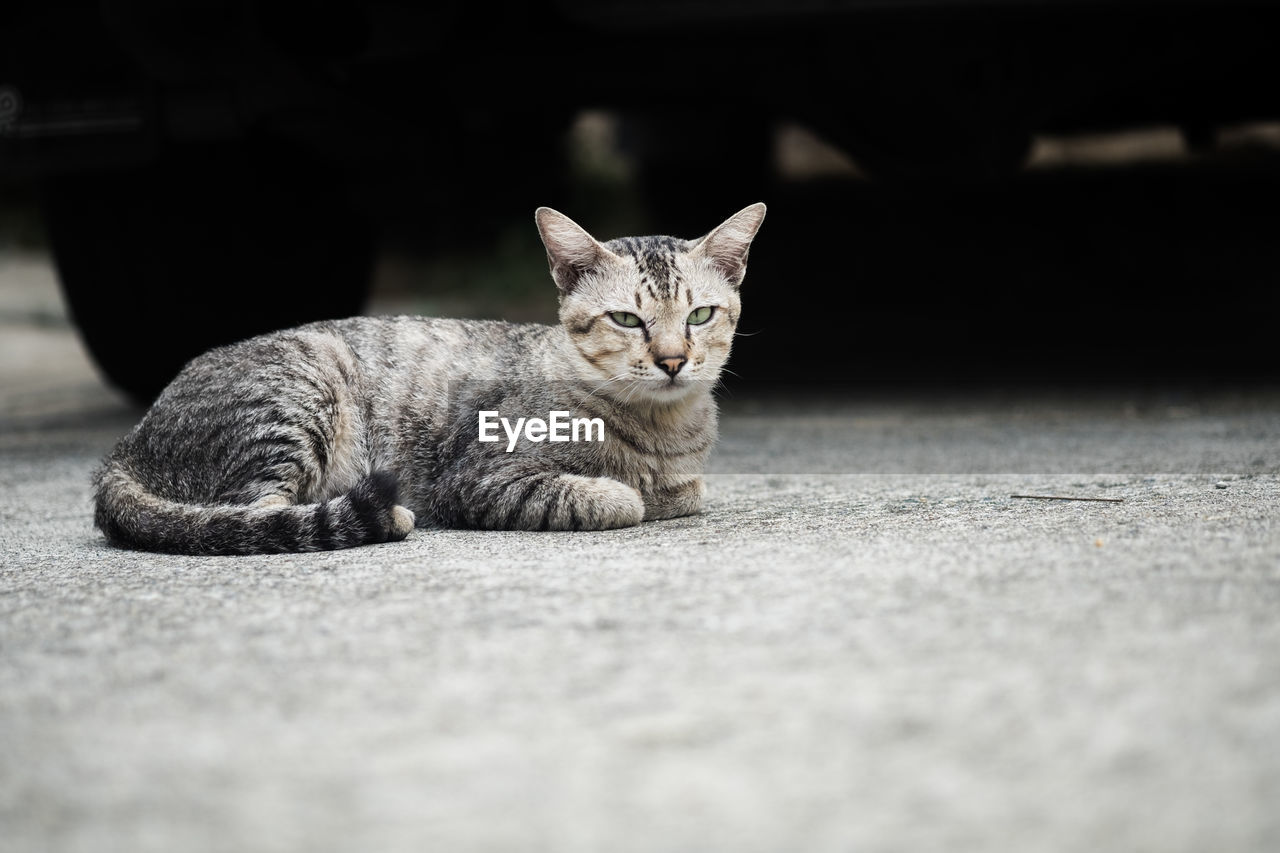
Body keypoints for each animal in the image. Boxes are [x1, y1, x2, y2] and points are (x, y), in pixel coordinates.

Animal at [97, 202, 768, 555]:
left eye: (700, 315)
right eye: (627, 319)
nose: (673, 360)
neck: (661, 429)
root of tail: (124, 448)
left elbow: (684, 490)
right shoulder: (479, 480)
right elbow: (618, 497)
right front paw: (625, 491)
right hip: (297, 394)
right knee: (248, 517)